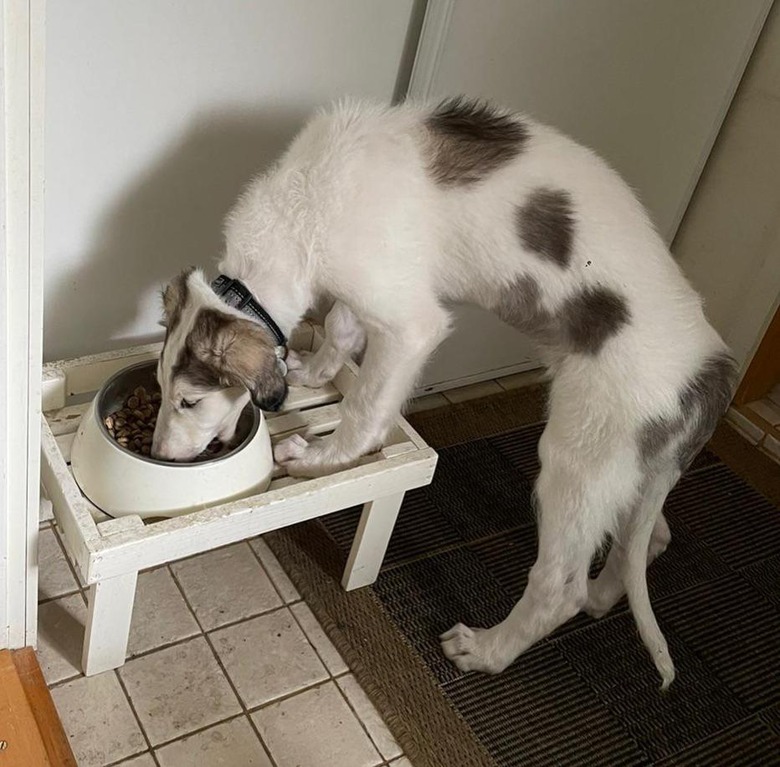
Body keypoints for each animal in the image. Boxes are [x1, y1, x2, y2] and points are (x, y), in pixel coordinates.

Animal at [151, 96, 736, 684]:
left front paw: (319, 458)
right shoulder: (374, 289)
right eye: (159, 389)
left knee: (558, 586)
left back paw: (487, 649)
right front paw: (313, 372)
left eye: (189, 401)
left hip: (582, 456)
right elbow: (340, 325)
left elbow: (364, 409)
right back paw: (600, 596)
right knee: (651, 537)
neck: (304, 202)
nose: (162, 458)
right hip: (632, 471)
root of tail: (711, 376)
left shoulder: (409, 324)